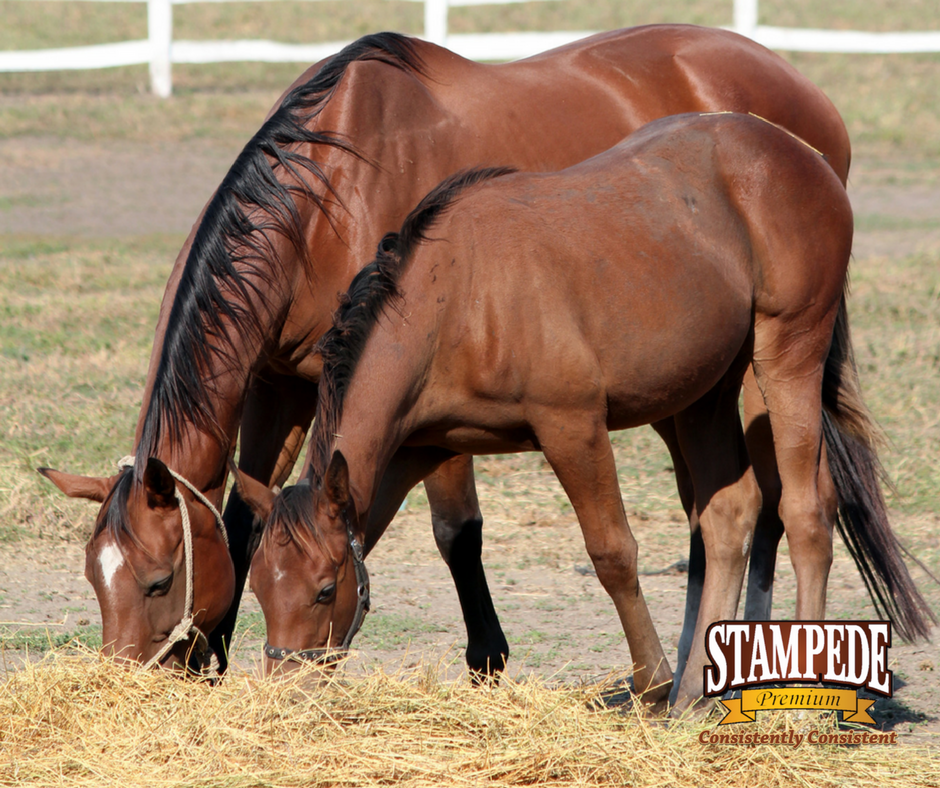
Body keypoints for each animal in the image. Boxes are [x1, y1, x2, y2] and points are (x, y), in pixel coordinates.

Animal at [38, 26, 860, 675]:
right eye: (94, 581)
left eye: (157, 579)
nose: (130, 680)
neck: (328, 195)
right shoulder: (279, 385)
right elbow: (243, 522)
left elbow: (455, 532)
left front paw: (488, 659)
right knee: (715, 504)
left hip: (763, 362)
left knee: (776, 500)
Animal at [239, 112, 935, 711]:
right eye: (260, 587)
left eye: (324, 590)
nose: (282, 691)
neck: (456, 298)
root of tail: (802, 153)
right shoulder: (416, 451)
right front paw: (667, 687)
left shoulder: (572, 427)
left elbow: (612, 552)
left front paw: (652, 682)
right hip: (705, 393)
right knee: (730, 514)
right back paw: (695, 697)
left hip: (786, 358)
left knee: (806, 511)